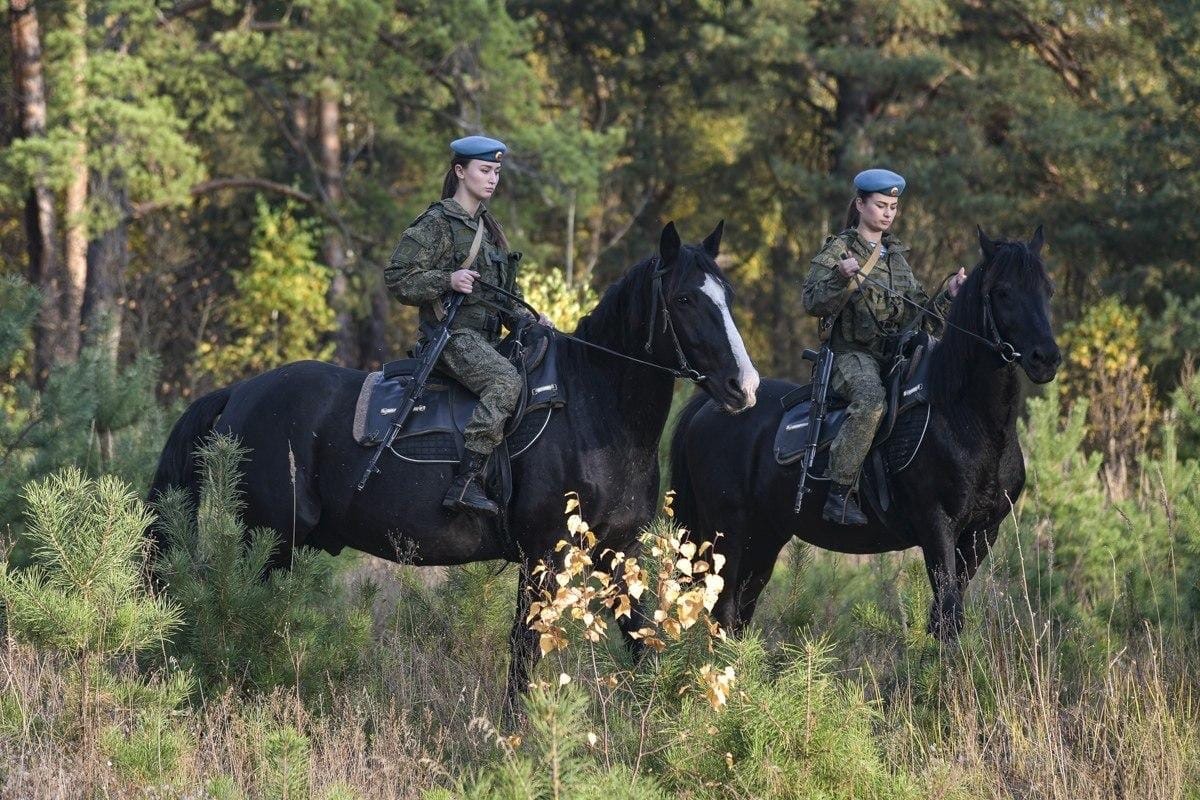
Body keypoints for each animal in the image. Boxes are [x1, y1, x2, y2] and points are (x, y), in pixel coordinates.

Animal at [150, 219, 758, 705]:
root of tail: (240, 392)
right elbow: (523, 654)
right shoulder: (542, 557)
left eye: (727, 295)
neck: (594, 407)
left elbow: (640, 641)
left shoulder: (616, 554)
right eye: (685, 300)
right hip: (268, 538)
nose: (744, 386)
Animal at [676, 227, 1060, 642]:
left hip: (764, 538)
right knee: (724, 608)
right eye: (1003, 291)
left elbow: (946, 616)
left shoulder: (981, 534)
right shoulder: (937, 526)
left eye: (1047, 289)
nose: (1046, 358)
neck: (967, 419)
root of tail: (709, 406)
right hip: (727, 532)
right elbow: (947, 617)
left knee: (741, 613)